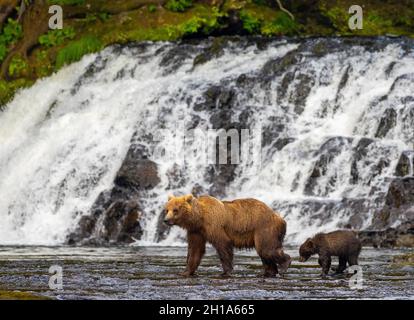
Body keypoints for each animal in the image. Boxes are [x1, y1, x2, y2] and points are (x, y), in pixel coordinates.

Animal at [164, 194, 292, 276]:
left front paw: (226, 271)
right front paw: (185, 271)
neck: (199, 218)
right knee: (264, 254)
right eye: (166, 209)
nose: (166, 220)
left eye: (175, 210)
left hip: (264, 228)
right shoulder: (196, 231)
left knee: (266, 250)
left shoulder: (214, 225)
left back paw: (285, 264)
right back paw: (270, 271)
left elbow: (223, 244)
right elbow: (195, 250)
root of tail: (279, 217)